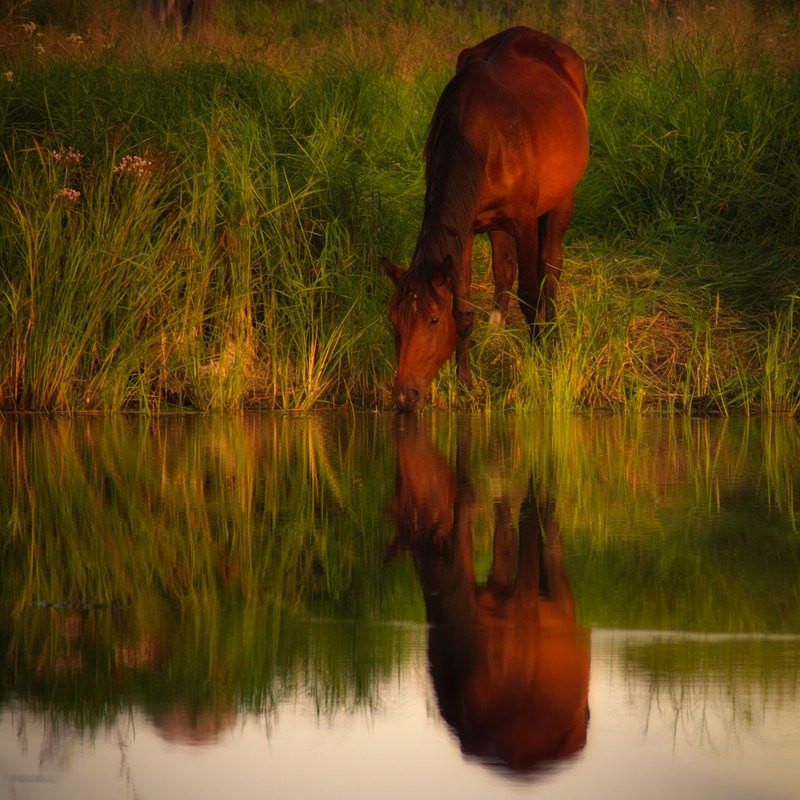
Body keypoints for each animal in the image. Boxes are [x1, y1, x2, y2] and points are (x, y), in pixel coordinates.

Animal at [382, 26, 588, 412]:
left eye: (433, 319)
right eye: (393, 320)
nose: (404, 396)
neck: (481, 139)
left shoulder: (524, 222)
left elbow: (530, 294)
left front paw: (537, 366)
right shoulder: (464, 231)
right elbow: (464, 311)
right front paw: (465, 382)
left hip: (562, 198)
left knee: (551, 267)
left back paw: (552, 335)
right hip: (494, 226)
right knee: (504, 267)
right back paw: (497, 329)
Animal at [390, 418, 592, 776]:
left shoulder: (523, 606)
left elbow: (525, 513)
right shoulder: (497, 584)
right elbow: (506, 521)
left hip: (565, 615)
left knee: (551, 537)